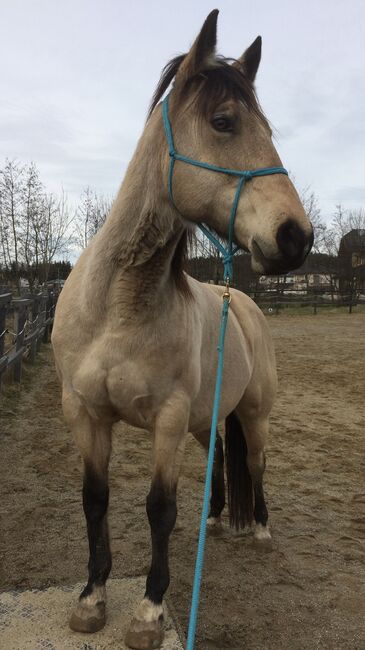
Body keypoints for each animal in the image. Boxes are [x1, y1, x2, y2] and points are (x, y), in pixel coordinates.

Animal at [52, 10, 312, 648]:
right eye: (223, 122)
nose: (296, 237)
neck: (118, 311)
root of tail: (245, 306)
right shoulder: (85, 413)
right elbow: (95, 499)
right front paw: (91, 598)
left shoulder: (167, 419)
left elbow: (159, 509)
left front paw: (149, 612)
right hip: (205, 419)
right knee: (219, 458)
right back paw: (217, 520)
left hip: (252, 415)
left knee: (255, 462)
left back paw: (258, 528)